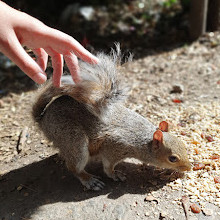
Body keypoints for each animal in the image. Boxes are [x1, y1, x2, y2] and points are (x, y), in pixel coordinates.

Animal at [31, 46, 191, 191]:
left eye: (184, 145)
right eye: (172, 158)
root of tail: (43, 118)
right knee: (74, 167)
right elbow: (108, 166)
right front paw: (115, 174)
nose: (189, 168)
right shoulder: (114, 146)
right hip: (72, 138)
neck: (144, 141)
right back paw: (89, 180)